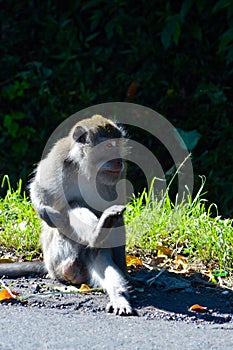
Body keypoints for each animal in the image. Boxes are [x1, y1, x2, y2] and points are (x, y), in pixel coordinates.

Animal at [0, 115, 135, 318]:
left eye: (117, 145)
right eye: (107, 147)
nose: (119, 161)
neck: (86, 167)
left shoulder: (117, 176)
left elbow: (119, 223)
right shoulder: (58, 158)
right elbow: (39, 188)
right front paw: (45, 211)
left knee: (99, 255)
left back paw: (117, 294)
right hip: (56, 257)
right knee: (72, 207)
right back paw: (97, 233)